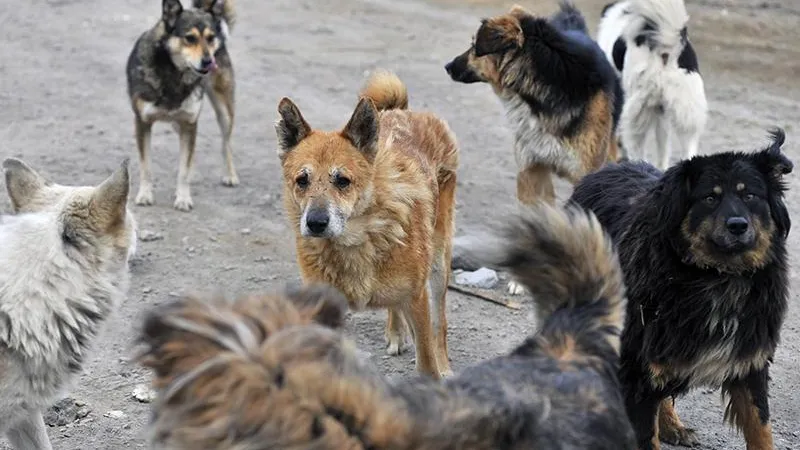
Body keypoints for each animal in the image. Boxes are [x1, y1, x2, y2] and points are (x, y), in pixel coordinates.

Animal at [126, 0, 236, 211]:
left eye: (210, 38)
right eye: (189, 38)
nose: (209, 61)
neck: (174, 73)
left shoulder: (189, 123)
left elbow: (183, 169)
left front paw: (183, 198)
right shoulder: (142, 123)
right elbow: (146, 166)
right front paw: (145, 195)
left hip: (224, 111)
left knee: (225, 143)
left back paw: (230, 174)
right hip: (178, 124)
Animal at [572, 128, 792, 448]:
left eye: (750, 195)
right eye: (710, 198)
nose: (738, 225)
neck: (718, 276)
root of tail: (604, 170)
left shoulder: (749, 359)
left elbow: (760, 427)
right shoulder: (638, 365)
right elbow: (644, 434)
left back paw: (672, 425)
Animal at [600, 0, 708, 171]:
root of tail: (666, 48)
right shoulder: (661, 111)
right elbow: (663, 144)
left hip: (636, 114)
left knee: (637, 149)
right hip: (687, 112)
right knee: (688, 150)